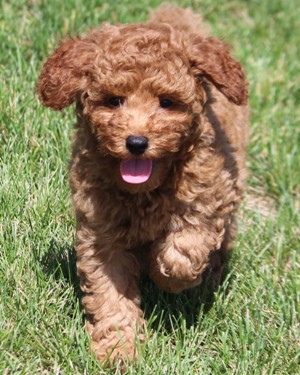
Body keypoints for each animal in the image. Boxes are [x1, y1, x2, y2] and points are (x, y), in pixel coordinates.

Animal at [37, 5, 248, 364]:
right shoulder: (101, 233)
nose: (136, 142)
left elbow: (181, 254)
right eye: (113, 100)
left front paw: (164, 274)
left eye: (167, 102)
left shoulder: (207, 196)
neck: (146, 190)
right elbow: (110, 292)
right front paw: (118, 349)